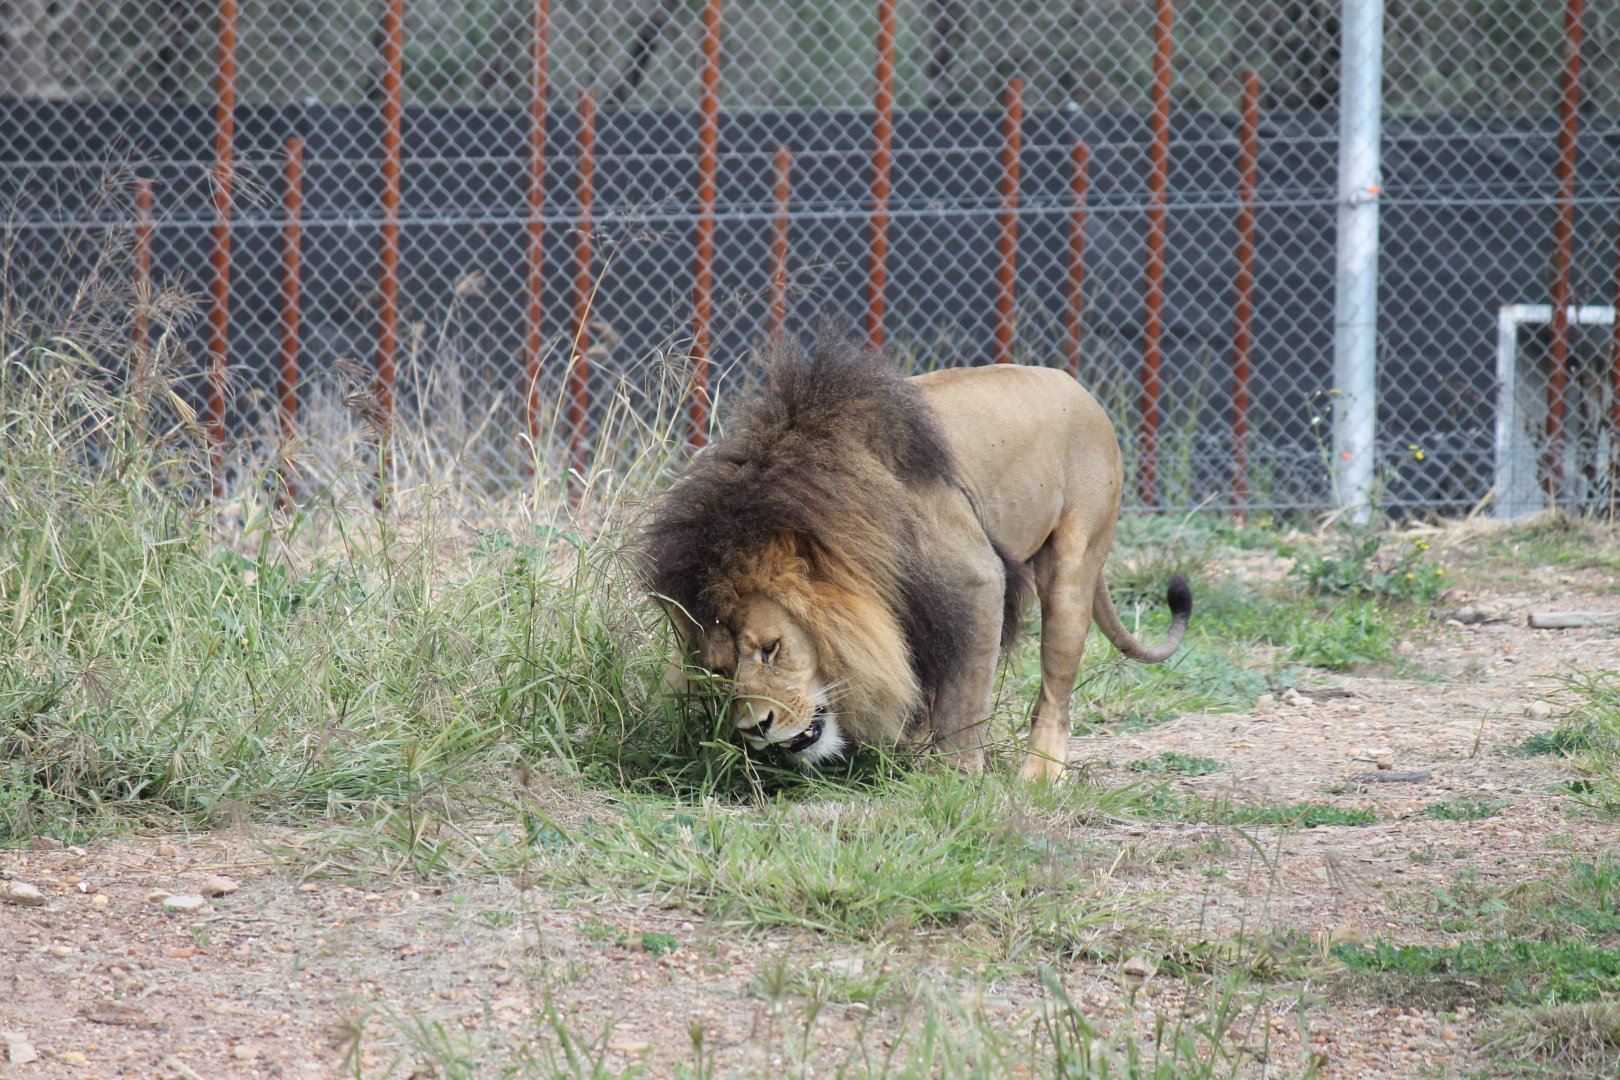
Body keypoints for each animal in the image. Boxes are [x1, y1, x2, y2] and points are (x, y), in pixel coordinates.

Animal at [639, 335, 1190, 781]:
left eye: (771, 649)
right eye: (720, 670)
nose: (754, 728)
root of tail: (1077, 386)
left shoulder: (976, 582)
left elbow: (963, 701)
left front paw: (955, 779)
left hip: (1075, 565)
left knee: (1056, 694)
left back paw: (1038, 776)